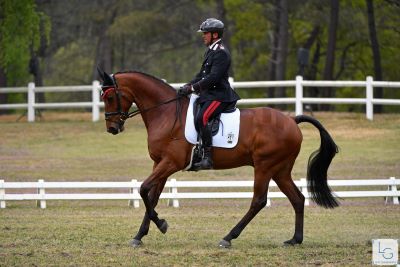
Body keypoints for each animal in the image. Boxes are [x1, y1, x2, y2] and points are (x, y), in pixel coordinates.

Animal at [97, 69, 338, 249]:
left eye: (109, 97)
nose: (112, 128)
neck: (165, 113)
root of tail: (292, 120)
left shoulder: (170, 163)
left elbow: (143, 189)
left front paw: (162, 225)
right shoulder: (160, 163)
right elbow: (152, 196)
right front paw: (140, 235)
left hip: (264, 166)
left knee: (259, 201)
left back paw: (228, 237)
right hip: (280, 170)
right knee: (297, 198)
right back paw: (295, 240)